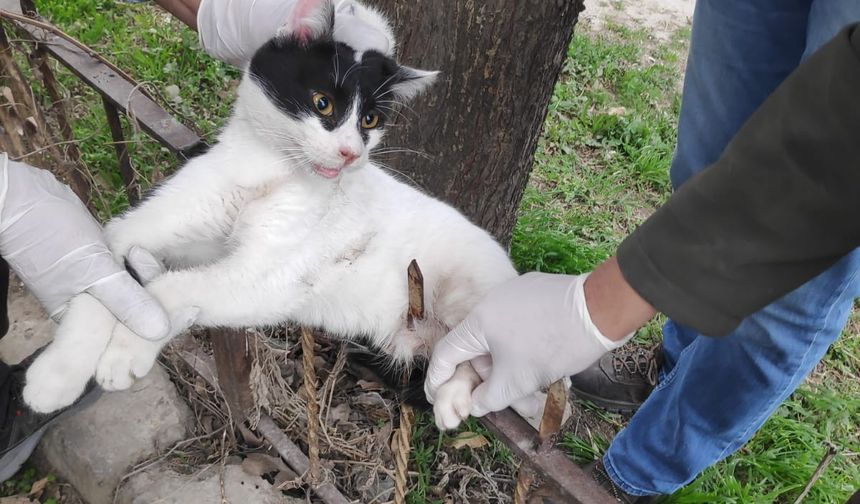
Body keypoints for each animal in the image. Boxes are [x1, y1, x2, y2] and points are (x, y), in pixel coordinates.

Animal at [21, 0, 556, 432]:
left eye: (370, 121)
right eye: (323, 103)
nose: (350, 153)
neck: (268, 174)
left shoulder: (268, 278)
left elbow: (170, 287)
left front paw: (125, 352)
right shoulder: (136, 228)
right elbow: (104, 279)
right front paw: (57, 374)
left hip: (474, 299)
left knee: (507, 376)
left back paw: (469, 398)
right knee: (453, 363)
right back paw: (448, 397)